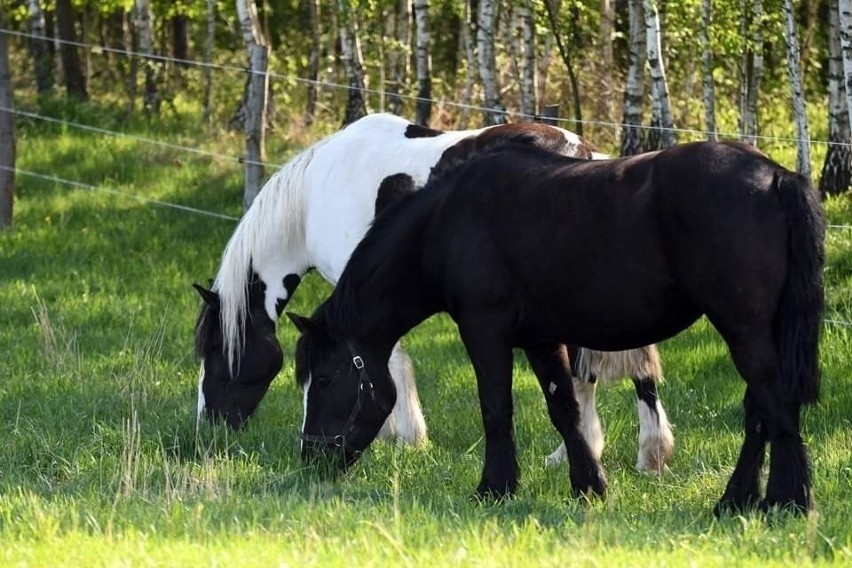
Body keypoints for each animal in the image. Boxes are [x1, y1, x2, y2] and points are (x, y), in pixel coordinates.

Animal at [193, 111, 672, 470]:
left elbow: (390, 361)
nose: (208, 424)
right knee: (626, 370)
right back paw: (643, 454)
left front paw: (403, 437)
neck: (316, 193)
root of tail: (585, 152)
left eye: (217, 351)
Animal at [288, 141, 824, 516]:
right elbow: (564, 408)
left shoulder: (485, 331)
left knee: (773, 402)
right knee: (760, 408)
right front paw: (590, 486)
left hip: (743, 327)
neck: (449, 219)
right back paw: (737, 500)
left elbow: (496, 409)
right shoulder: (541, 338)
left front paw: (494, 488)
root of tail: (775, 175)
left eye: (327, 378)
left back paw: (787, 500)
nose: (312, 460)